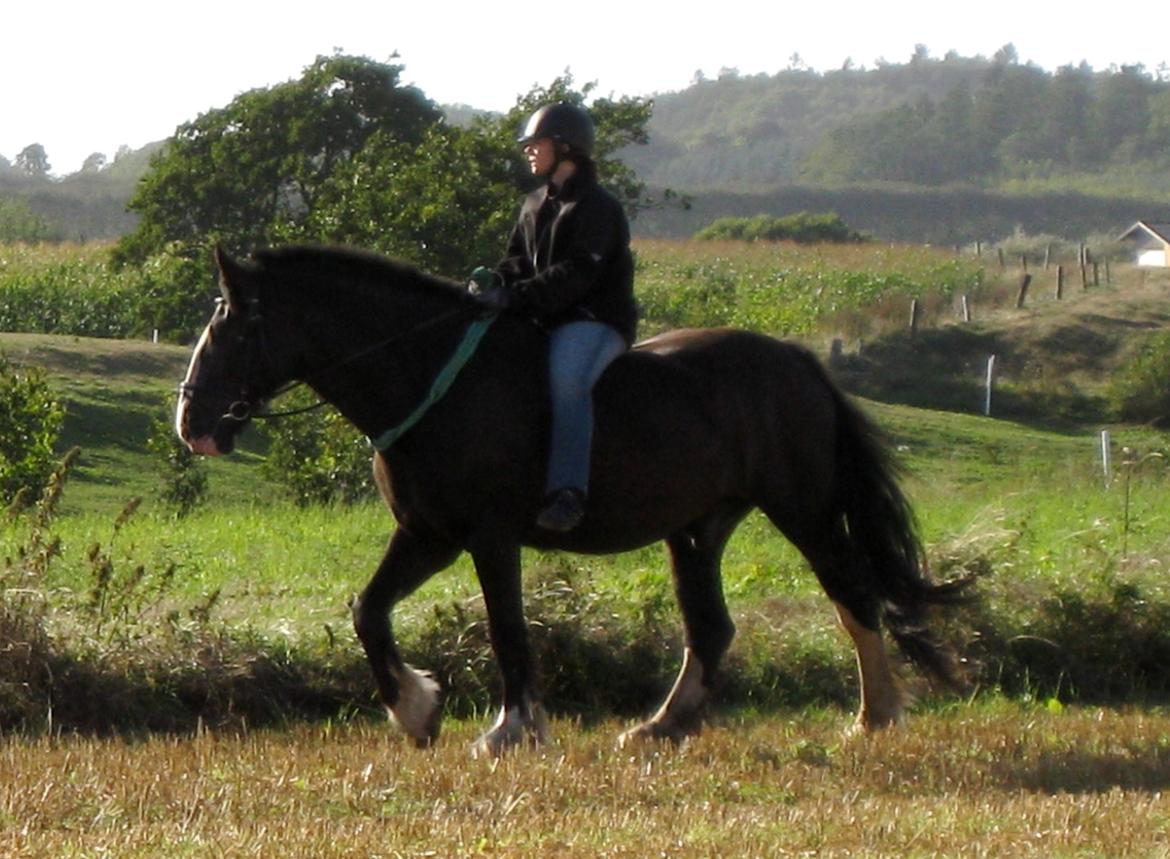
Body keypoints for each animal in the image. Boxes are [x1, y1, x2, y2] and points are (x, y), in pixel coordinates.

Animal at [177, 242, 964, 753]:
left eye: (231, 325)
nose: (192, 421)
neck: (429, 376)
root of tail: (798, 361)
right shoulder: (428, 534)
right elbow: (368, 611)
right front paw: (416, 710)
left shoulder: (488, 536)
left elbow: (507, 630)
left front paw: (513, 728)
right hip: (697, 530)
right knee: (711, 627)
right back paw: (664, 725)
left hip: (802, 509)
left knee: (852, 592)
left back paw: (875, 714)